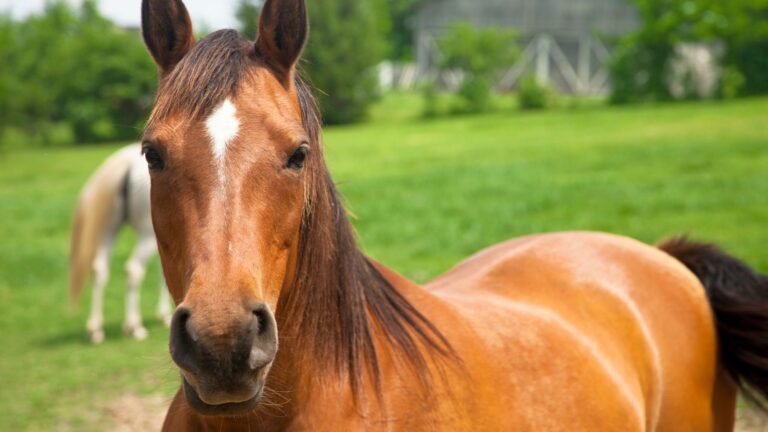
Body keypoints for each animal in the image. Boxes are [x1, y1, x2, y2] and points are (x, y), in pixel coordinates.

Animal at [69, 144, 172, 343]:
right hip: (147, 234)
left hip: (108, 231)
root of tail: (125, 163)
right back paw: (134, 327)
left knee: (99, 270)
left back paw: (95, 329)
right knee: (133, 270)